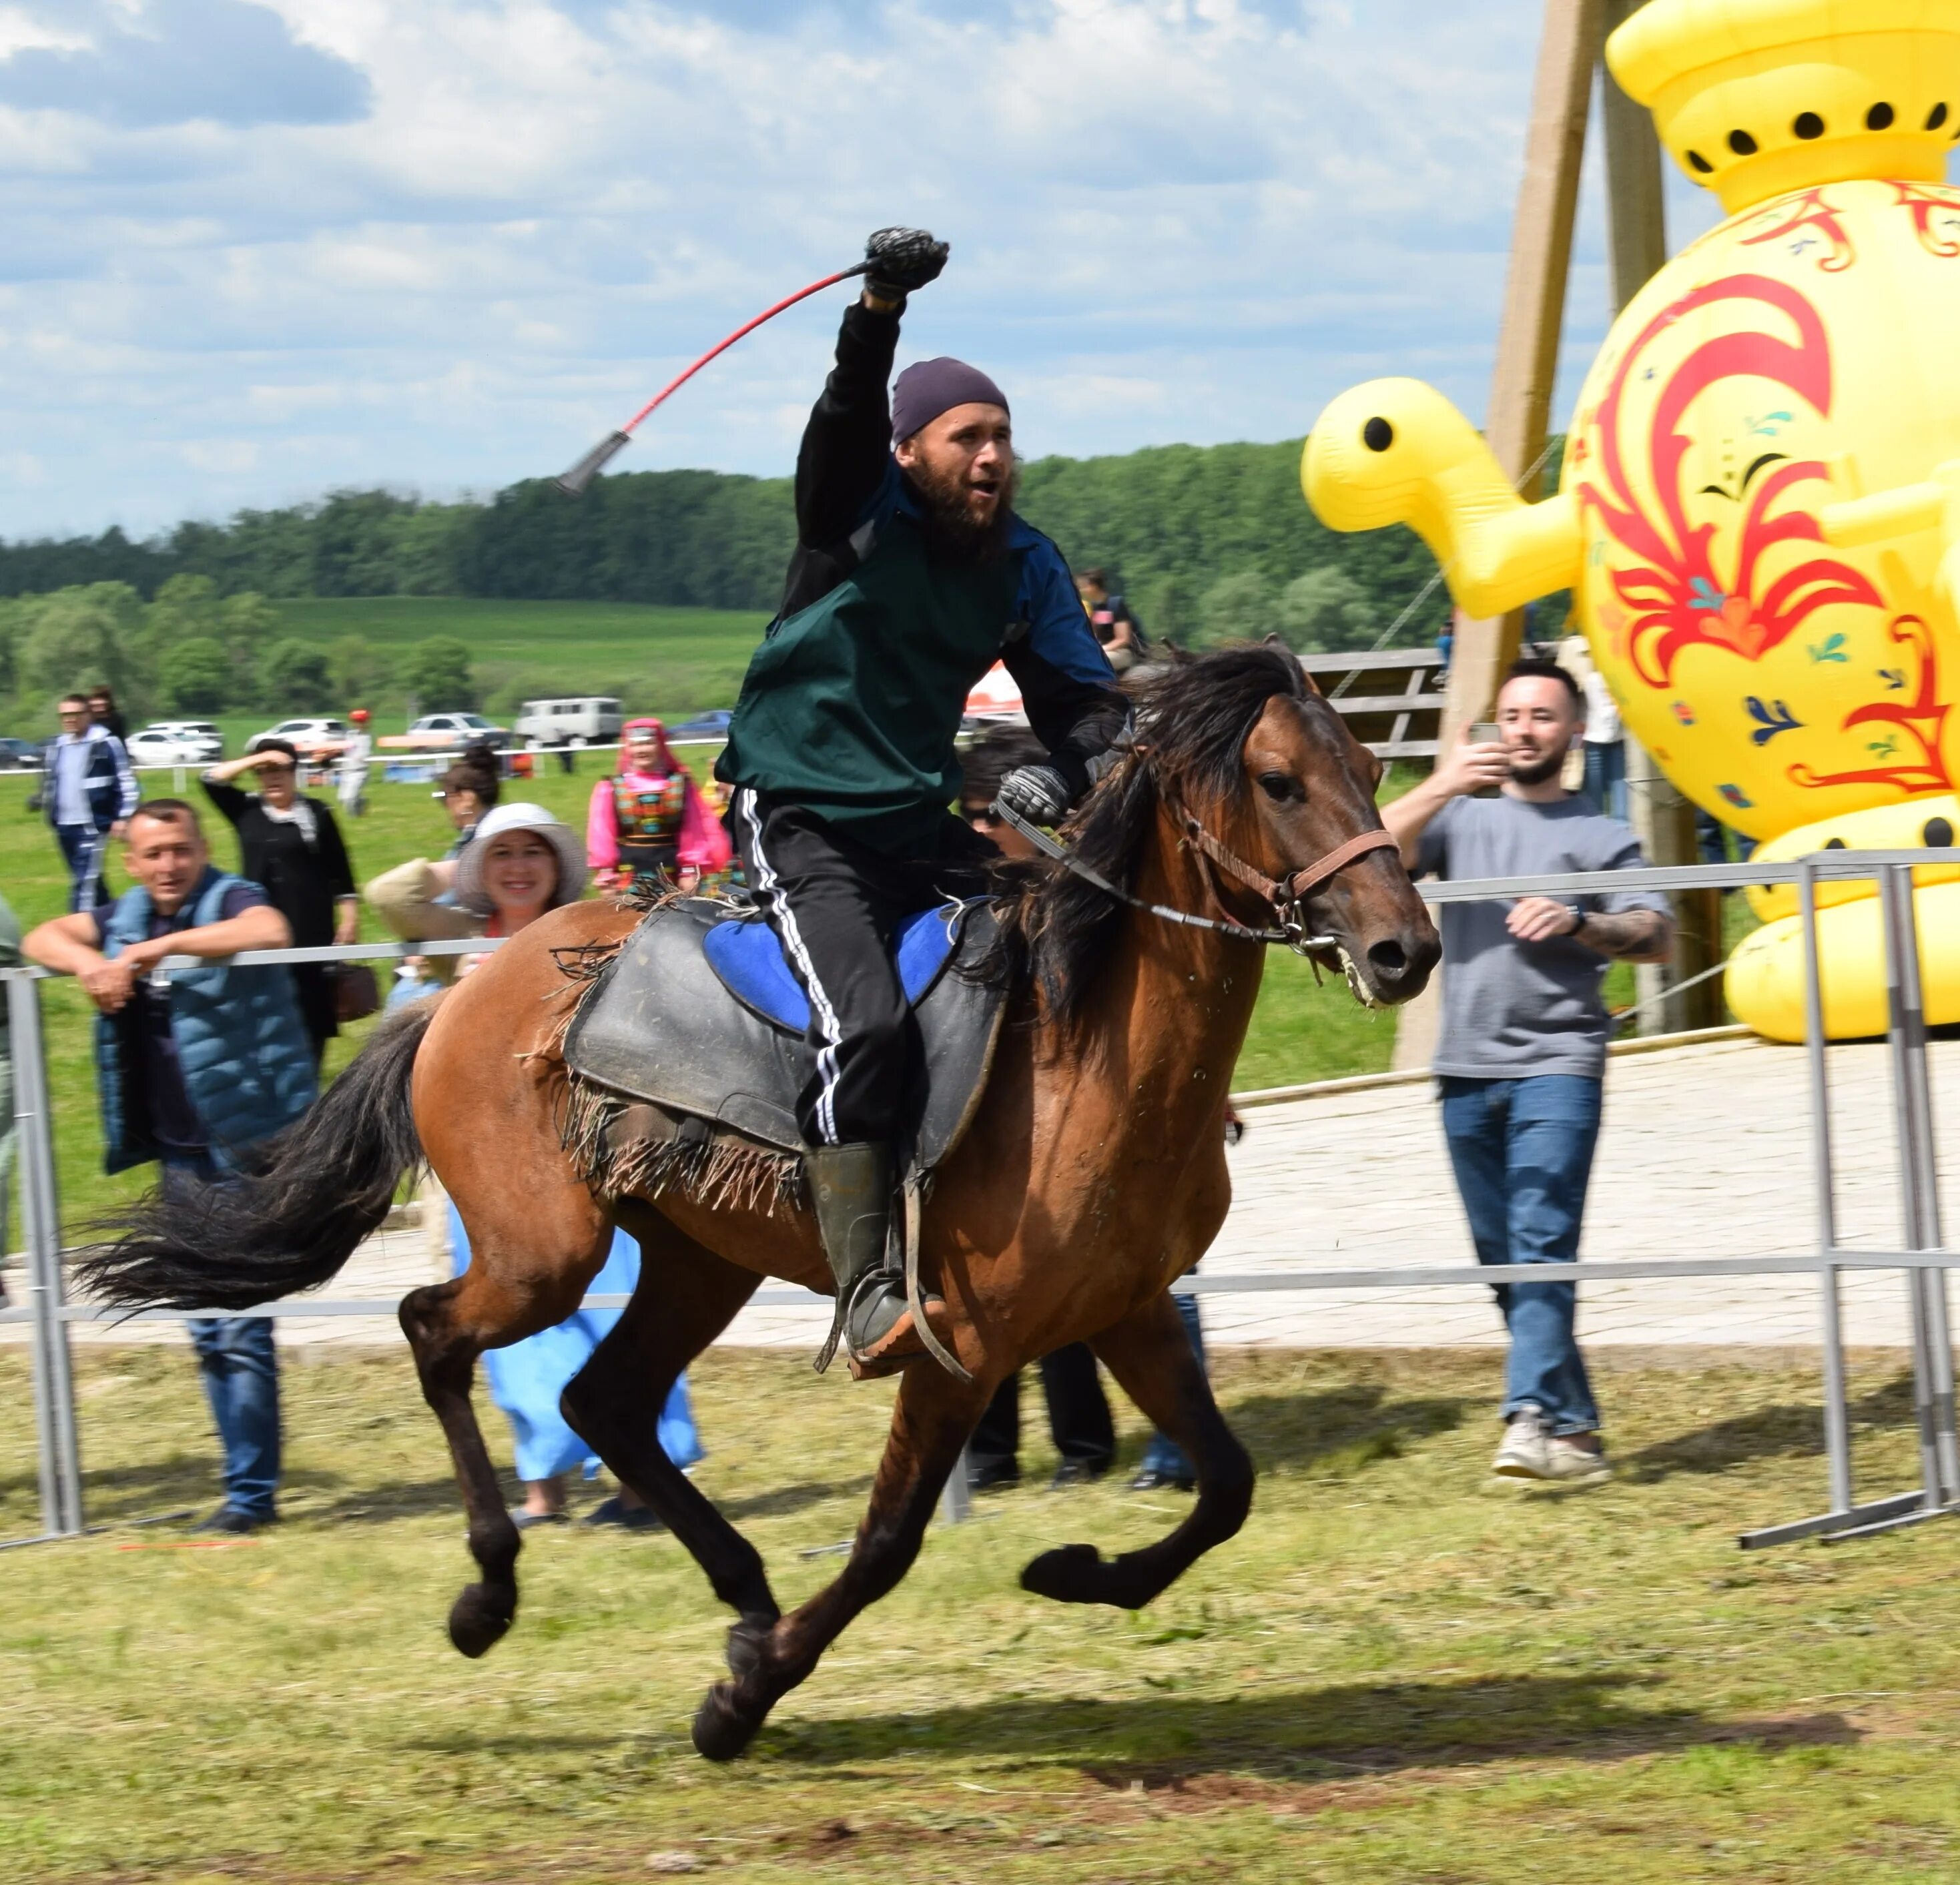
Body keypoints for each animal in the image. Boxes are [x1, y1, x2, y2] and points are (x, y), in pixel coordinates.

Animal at [80, 643, 1442, 1748]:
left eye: (1370, 760)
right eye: (1277, 782)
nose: (1404, 949)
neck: (1084, 1051)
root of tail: (463, 987)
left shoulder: (1128, 1310)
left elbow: (1226, 1484)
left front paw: (1073, 1570)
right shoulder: (959, 1344)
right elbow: (888, 1542)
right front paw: (744, 1699)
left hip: (698, 1259)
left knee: (602, 1400)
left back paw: (735, 1588)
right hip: (543, 1253)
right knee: (437, 1333)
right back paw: (491, 1593)